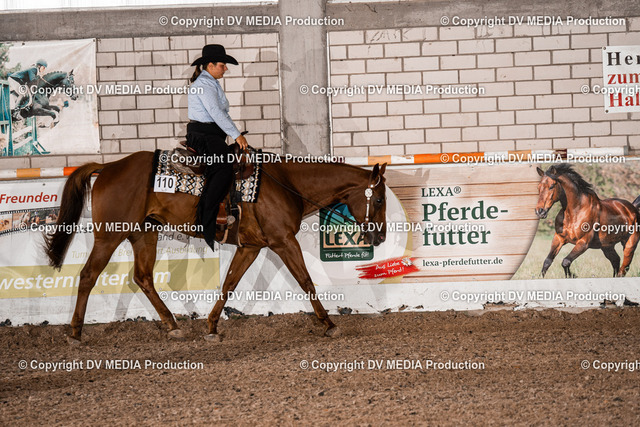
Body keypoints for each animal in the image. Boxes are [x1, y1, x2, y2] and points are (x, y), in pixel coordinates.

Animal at [45, 151, 387, 344]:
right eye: (381, 199)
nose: (382, 237)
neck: (287, 183)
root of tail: (108, 166)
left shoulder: (251, 247)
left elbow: (229, 284)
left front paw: (210, 326)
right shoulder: (283, 241)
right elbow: (306, 281)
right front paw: (329, 324)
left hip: (145, 234)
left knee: (142, 277)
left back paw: (173, 326)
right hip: (109, 236)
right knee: (88, 275)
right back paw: (75, 333)